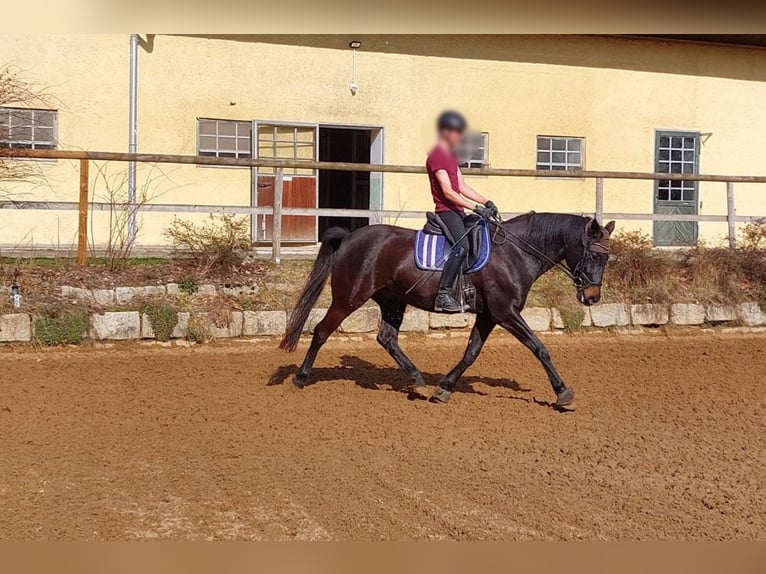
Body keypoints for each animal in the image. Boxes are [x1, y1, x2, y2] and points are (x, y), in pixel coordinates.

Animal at [280, 214, 616, 408]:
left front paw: (443, 388)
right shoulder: (505, 312)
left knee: (387, 338)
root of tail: (349, 237)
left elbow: (470, 353)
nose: (592, 297)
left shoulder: (489, 315)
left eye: (607, 258)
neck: (515, 252)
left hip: (393, 301)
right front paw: (563, 394)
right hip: (349, 297)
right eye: (593, 256)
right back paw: (301, 377)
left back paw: (417, 381)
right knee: (322, 331)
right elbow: (539, 347)